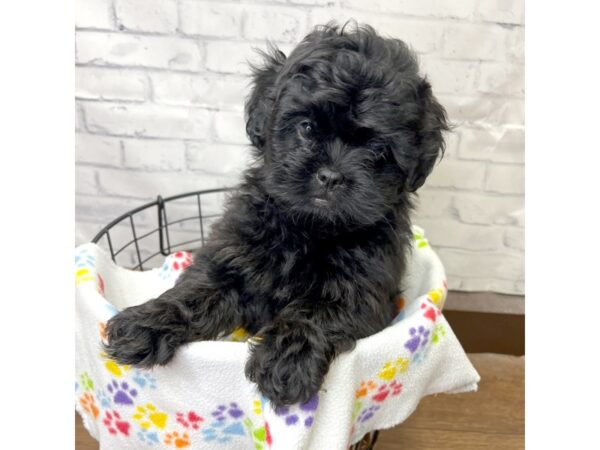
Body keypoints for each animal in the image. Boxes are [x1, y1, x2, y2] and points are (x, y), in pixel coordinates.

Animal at [105, 23, 448, 408]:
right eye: (307, 127)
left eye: (377, 149)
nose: (331, 176)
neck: (311, 228)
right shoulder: (233, 254)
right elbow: (197, 290)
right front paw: (145, 323)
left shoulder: (364, 292)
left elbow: (316, 311)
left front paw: (286, 361)